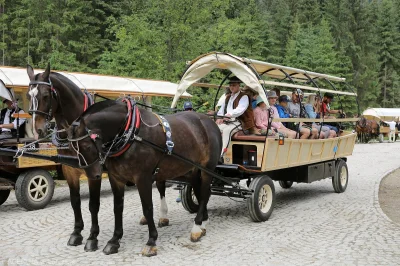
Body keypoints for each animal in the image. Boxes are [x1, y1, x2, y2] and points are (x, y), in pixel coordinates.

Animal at [66, 98, 222, 256]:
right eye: (72, 148)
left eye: (86, 146)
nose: (94, 175)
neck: (130, 134)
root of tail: (209, 121)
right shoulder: (116, 178)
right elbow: (117, 208)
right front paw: (114, 240)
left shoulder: (143, 178)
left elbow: (148, 208)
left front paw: (151, 241)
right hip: (194, 169)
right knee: (199, 191)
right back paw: (203, 223)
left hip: (208, 168)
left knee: (205, 193)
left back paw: (196, 227)